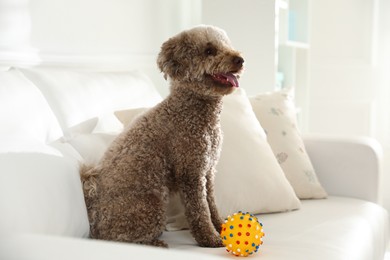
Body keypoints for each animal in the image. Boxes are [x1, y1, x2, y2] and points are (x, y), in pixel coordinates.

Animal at [79, 24, 244, 248]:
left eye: (227, 45)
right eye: (209, 51)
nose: (240, 59)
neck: (188, 111)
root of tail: (93, 221)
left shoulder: (208, 171)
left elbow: (212, 204)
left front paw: (221, 227)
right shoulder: (191, 172)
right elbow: (200, 211)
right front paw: (211, 239)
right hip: (152, 206)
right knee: (120, 238)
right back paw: (155, 243)